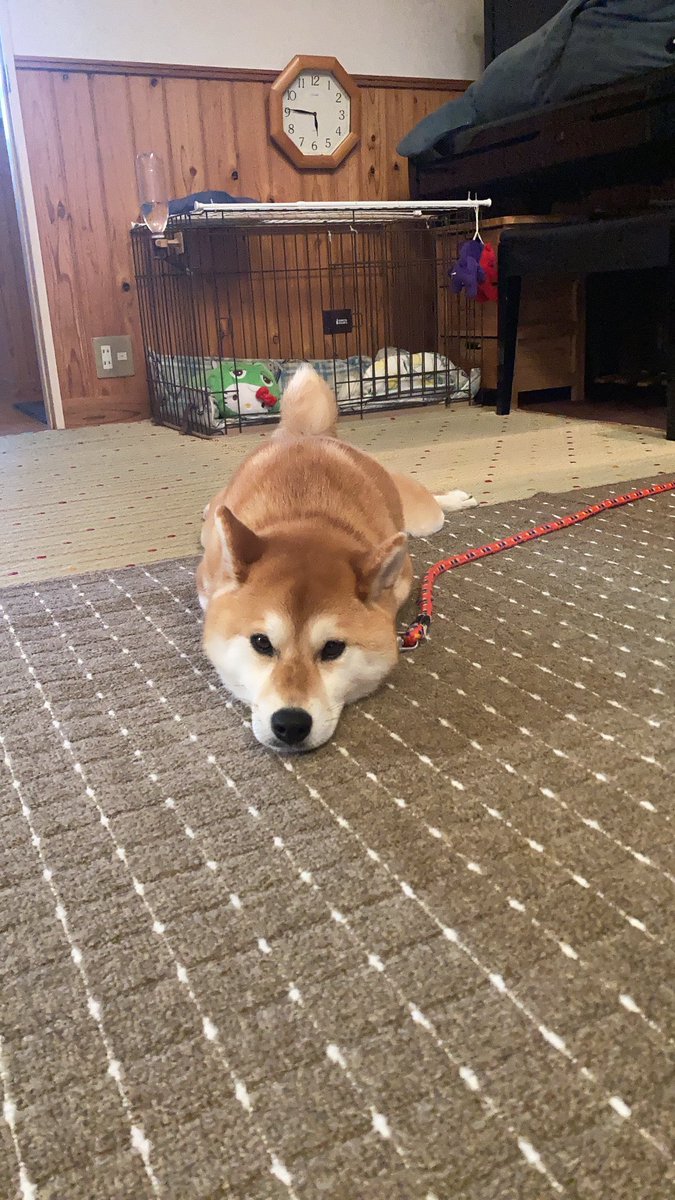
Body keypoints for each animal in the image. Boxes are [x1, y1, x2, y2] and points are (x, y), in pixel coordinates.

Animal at [196, 364, 475, 748]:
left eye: (332, 649)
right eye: (261, 643)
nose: (291, 724)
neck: (305, 516)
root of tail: (308, 432)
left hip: (424, 518)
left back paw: (457, 498)